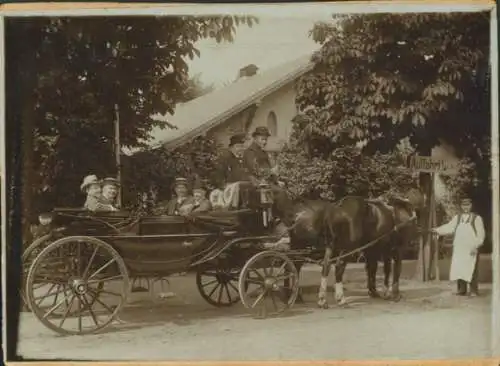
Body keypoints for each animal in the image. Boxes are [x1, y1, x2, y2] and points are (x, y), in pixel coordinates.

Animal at [270, 186, 418, 308]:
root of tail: (335, 209)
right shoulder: (396, 249)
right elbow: (394, 270)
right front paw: (394, 294)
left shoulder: (375, 250)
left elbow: (376, 269)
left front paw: (376, 291)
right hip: (345, 248)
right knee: (337, 267)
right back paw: (339, 299)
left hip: (329, 245)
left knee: (322, 266)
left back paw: (318, 299)